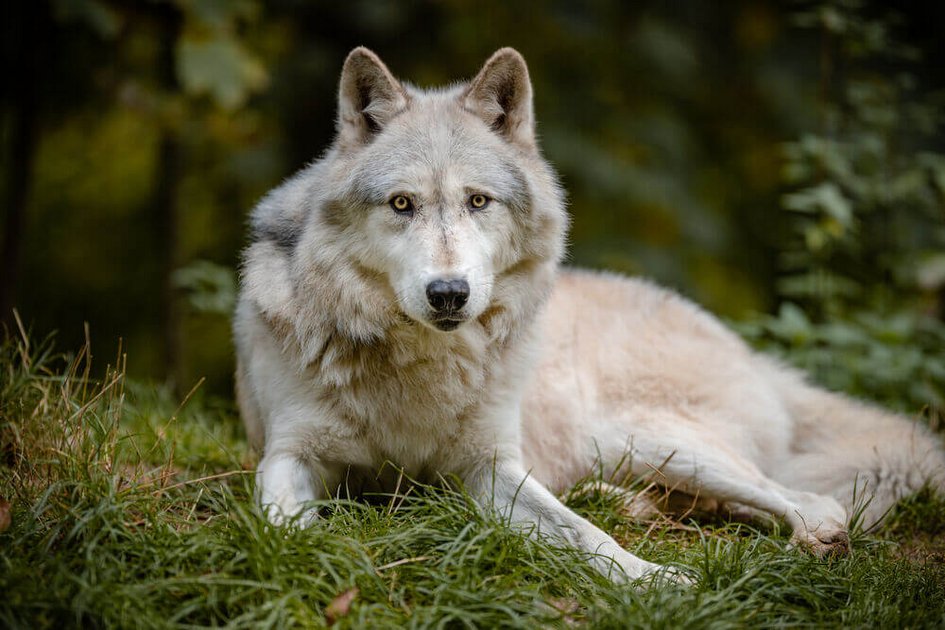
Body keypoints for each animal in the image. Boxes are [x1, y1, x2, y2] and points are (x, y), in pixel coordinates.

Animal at [234, 47, 944, 584]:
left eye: (478, 201)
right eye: (402, 204)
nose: (448, 294)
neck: (418, 368)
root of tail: (753, 355)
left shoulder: (491, 470)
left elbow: (586, 537)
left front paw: (658, 583)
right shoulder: (287, 456)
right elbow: (282, 524)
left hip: (640, 434)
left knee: (810, 501)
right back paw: (633, 504)